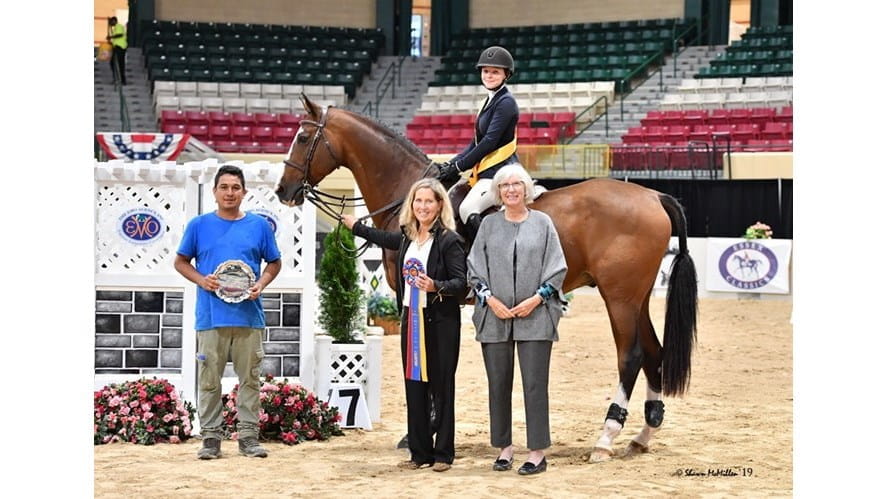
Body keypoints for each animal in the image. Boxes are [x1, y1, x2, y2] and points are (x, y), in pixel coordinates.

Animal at [276, 94, 698, 462]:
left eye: (302, 137)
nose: (283, 190)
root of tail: (654, 195)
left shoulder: (418, 299)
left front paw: (423, 432)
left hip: (620, 297)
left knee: (631, 356)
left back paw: (606, 437)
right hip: (636, 297)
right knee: (654, 352)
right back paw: (642, 436)